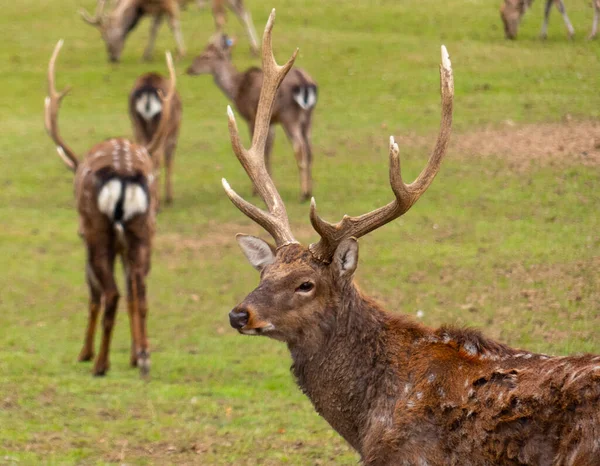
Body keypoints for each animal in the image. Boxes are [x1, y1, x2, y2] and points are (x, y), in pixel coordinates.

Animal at [79, 0, 258, 62]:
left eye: (104, 36)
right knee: (243, 12)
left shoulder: (168, 3)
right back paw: (254, 48)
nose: (112, 58)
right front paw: (146, 55)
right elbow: (154, 28)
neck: (141, 4)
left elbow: (173, 24)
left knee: (221, 19)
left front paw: (181, 53)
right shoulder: (159, 8)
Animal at [128, 70, 180, 204]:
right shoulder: (173, 135)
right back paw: (159, 200)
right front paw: (169, 197)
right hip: (163, 129)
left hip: (137, 125)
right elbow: (169, 161)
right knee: (157, 157)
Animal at [189, 31, 318, 201]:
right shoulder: (272, 122)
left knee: (299, 148)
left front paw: (255, 191)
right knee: (310, 149)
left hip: (290, 116)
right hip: (308, 117)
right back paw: (309, 191)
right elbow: (268, 149)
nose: (190, 69)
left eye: (205, 56)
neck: (236, 89)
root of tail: (305, 82)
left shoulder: (251, 117)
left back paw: (303, 194)